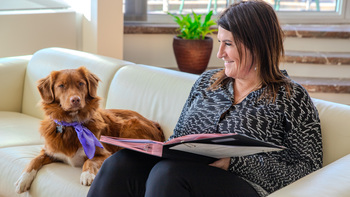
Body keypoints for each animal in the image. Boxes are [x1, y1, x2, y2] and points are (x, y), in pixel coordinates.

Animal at [14, 67, 165, 193]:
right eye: (61, 85)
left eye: (81, 83)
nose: (75, 99)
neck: (73, 125)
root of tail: (155, 124)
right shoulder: (49, 151)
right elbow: (34, 160)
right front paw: (23, 179)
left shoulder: (105, 154)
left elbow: (89, 161)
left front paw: (87, 175)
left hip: (129, 127)